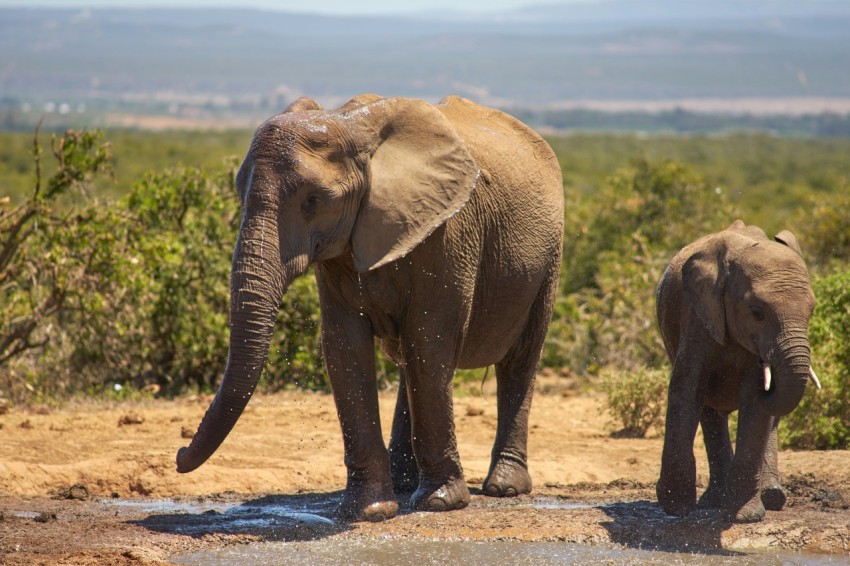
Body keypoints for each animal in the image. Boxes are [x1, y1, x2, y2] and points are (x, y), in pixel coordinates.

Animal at [173, 93, 564, 524]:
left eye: (313, 201)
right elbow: (346, 346)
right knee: (412, 364)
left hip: (548, 259)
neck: (349, 125)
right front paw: (369, 511)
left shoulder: (448, 233)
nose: (178, 455)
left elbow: (430, 341)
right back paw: (405, 484)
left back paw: (503, 488)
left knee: (518, 358)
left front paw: (440, 504)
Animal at [652, 221, 820, 524]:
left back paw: (772, 497)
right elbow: (687, 390)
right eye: (756, 312)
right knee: (710, 413)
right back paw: (714, 502)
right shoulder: (698, 317)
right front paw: (677, 508)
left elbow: (755, 405)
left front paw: (746, 516)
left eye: (811, 312)